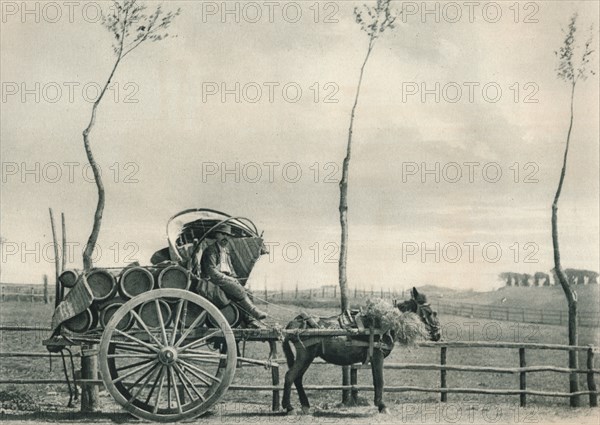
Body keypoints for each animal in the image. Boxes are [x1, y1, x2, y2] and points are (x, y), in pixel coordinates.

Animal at [282, 286, 440, 412]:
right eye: (430, 312)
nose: (438, 333)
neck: (385, 323)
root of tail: (293, 323)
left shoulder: (374, 358)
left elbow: (376, 381)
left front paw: (379, 404)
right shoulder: (377, 356)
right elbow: (380, 381)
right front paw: (382, 406)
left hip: (307, 357)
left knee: (298, 378)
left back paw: (305, 405)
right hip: (305, 356)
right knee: (290, 376)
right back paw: (288, 407)